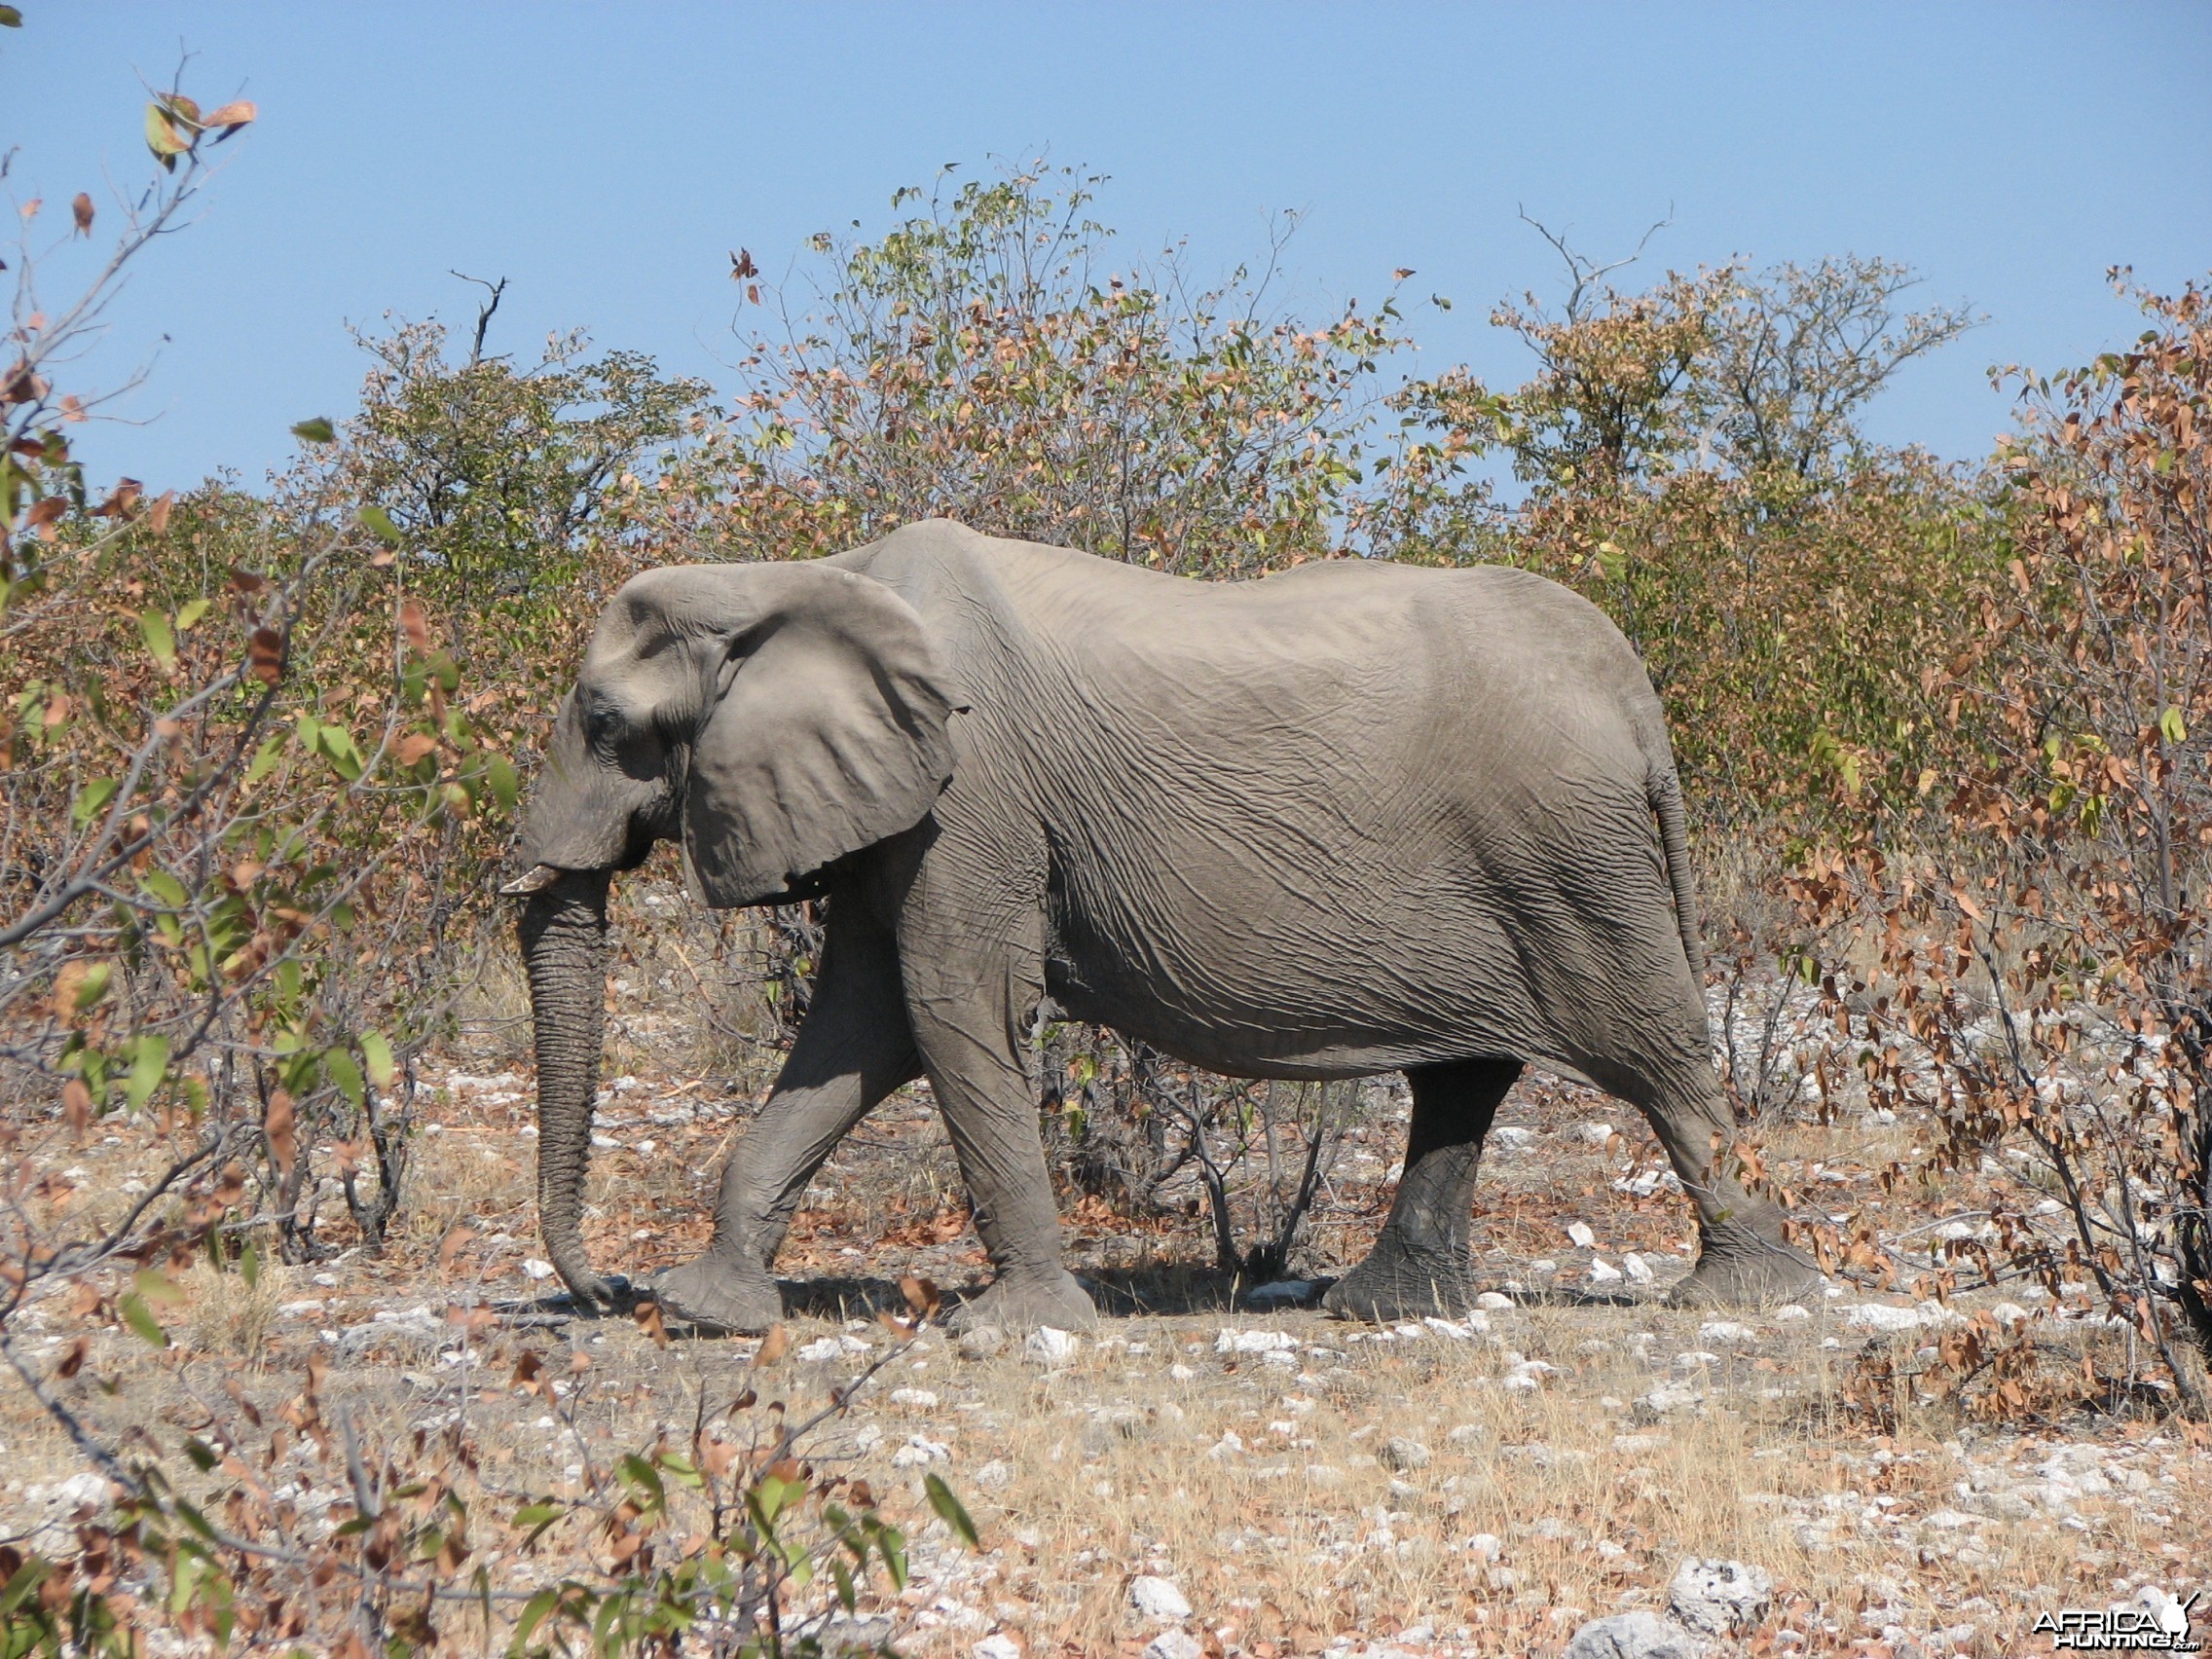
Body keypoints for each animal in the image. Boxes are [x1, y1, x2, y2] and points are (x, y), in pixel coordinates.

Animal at [508, 519, 1823, 1336]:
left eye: (606, 724)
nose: (603, 1286)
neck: (798, 576)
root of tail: (1631, 688)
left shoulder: (974, 793)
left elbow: (950, 1005)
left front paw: (1014, 1330)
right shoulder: (905, 806)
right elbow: (859, 1028)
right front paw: (703, 1309)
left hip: (1569, 853)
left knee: (1650, 1052)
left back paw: (1745, 1299)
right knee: (1467, 1070)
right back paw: (1382, 1308)